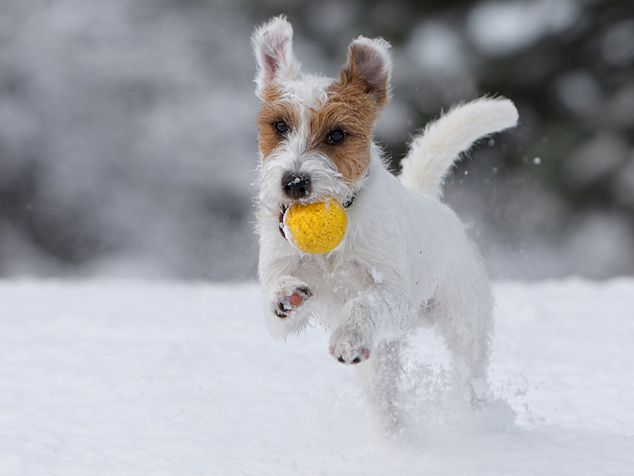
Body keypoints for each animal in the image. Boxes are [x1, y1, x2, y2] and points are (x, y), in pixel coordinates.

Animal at [249, 15, 516, 432]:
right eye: (278, 126)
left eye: (337, 134)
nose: (293, 182)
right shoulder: (280, 302)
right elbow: (277, 301)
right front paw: (286, 294)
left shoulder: (393, 292)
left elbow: (364, 301)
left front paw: (347, 337)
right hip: (382, 361)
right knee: (386, 401)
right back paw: (395, 438)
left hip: (464, 322)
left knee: (469, 374)